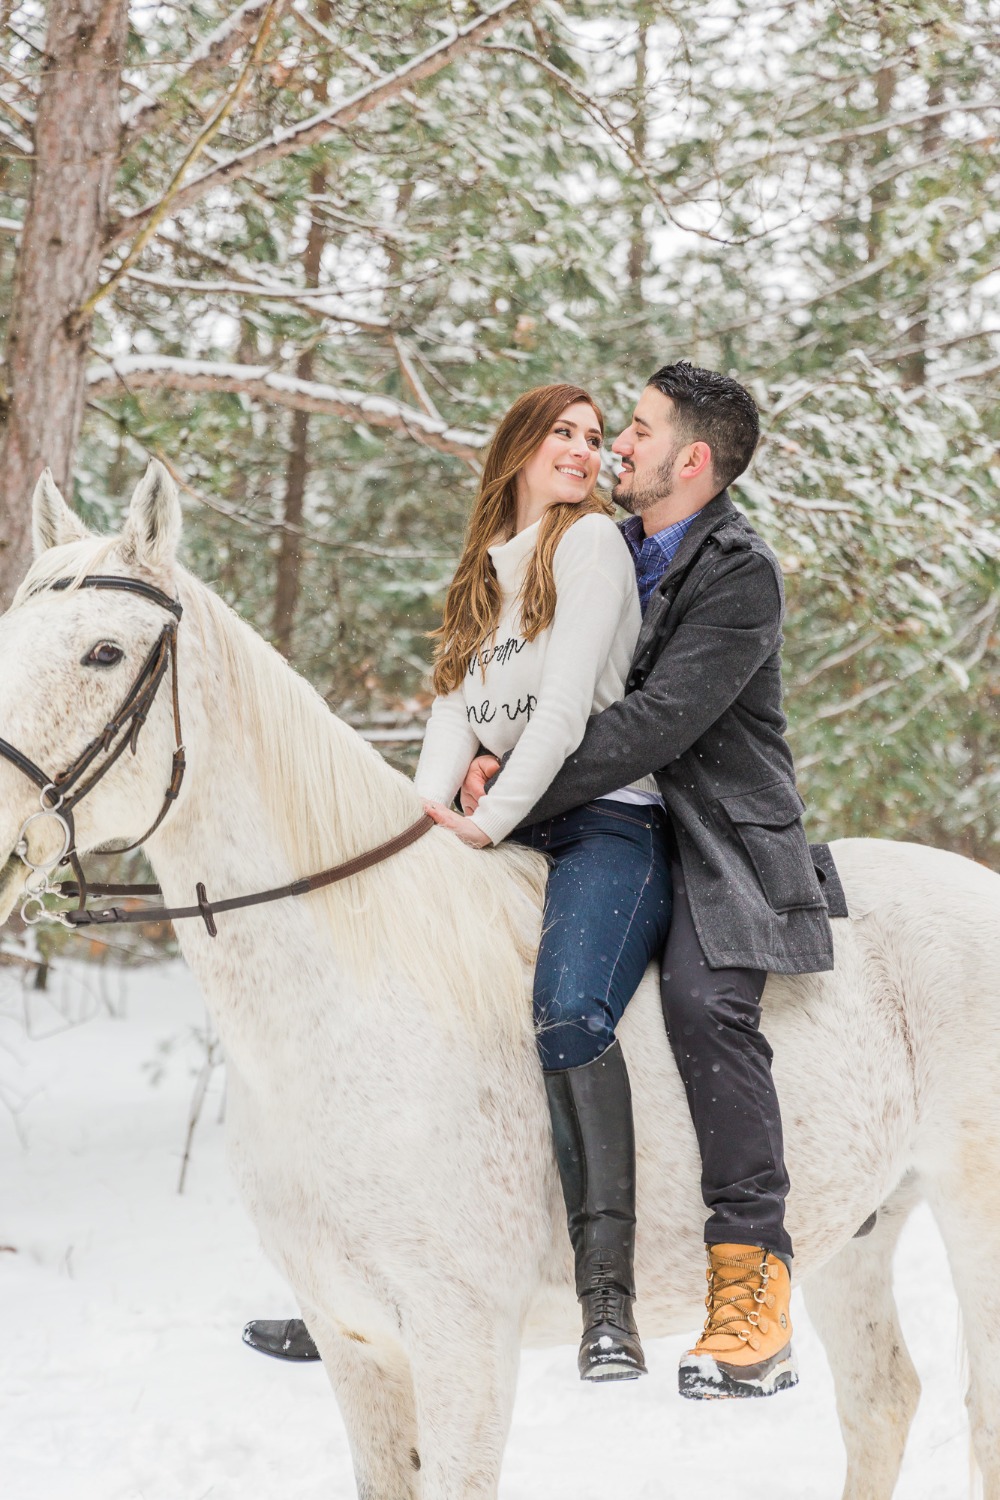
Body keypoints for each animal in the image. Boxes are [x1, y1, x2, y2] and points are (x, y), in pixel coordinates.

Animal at [1, 462, 1000, 1494]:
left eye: (104, 652)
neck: (341, 1005)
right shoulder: (353, 1343)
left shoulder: (464, 1346)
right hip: (852, 1229)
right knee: (881, 1400)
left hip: (974, 1212)